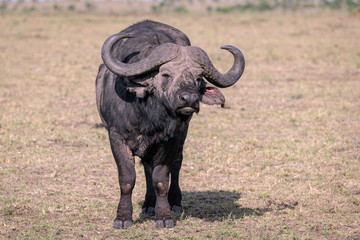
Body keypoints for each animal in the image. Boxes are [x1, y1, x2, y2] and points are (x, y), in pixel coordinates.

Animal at [95, 20, 245, 229]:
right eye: (165, 74)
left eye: (198, 77)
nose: (189, 99)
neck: (149, 116)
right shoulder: (117, 138)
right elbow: (127, 179)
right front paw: (123, 218)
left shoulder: (171, 140)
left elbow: (160, 179)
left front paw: (164, 216)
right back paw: (148, 205)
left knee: (175, 164)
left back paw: (173, 202)